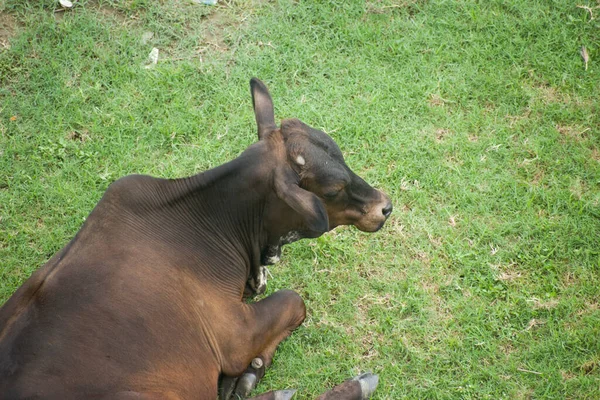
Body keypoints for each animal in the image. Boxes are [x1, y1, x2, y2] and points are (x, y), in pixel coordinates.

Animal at [0, 79, 392, 400]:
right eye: (333, 189)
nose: (385, 206)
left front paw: (247, 375)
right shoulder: (234, 336)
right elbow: (295, 301)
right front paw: (245, 375)